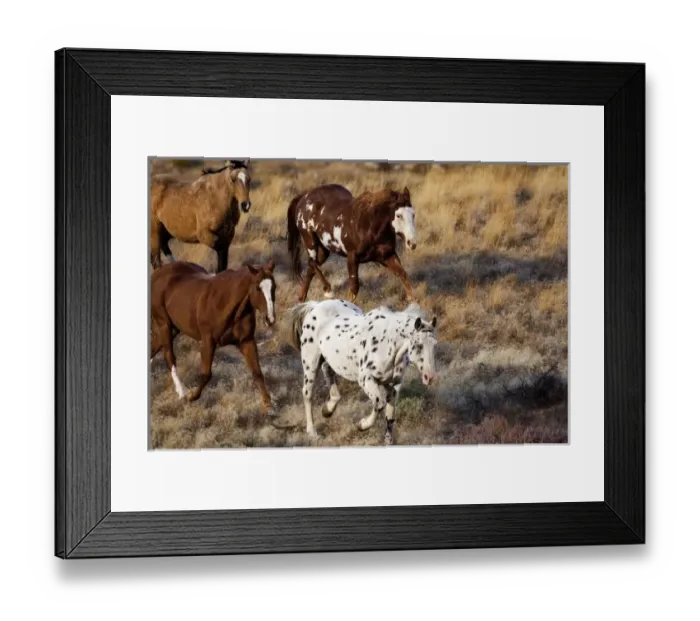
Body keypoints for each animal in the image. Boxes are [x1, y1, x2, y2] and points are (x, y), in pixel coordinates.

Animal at [150, 259, 277, 412]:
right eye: (258, 288)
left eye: (274, 287)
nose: (270, 319)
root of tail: (157, 273)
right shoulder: (207, 341)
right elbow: (206, 374)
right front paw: (190, 397)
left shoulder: (247, 341)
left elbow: (257, 371)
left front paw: (268, 405)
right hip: (164, 324)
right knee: (169, 356)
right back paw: (182, 392)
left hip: (174, 328)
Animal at [284, 299, 438, 445]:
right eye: (418, 345)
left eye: (434, 345)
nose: (429, 377)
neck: (388, 343)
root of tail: (316, 305)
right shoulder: (366, 379)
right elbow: (379, 404)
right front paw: (361, 425)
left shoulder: (393, 386)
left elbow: (390, 415)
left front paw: (388, 441)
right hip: (310, 362)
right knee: (307, 393)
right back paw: (312, 432)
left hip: (330, 359)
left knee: (328, 371)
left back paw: (327, 410)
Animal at [286, 184, 418, 304]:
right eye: (399, 215)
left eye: (413, 214)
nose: (412, 243)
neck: (370, 225)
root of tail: (304, 196)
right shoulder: (352, 257)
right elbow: (354, 288)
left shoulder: (387, 256)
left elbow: (402, 274)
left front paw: (412, 301)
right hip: (310, 240)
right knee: (311, 262)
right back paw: (328, 290)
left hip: (324, 249)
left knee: (310, 268)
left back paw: (301, 299)